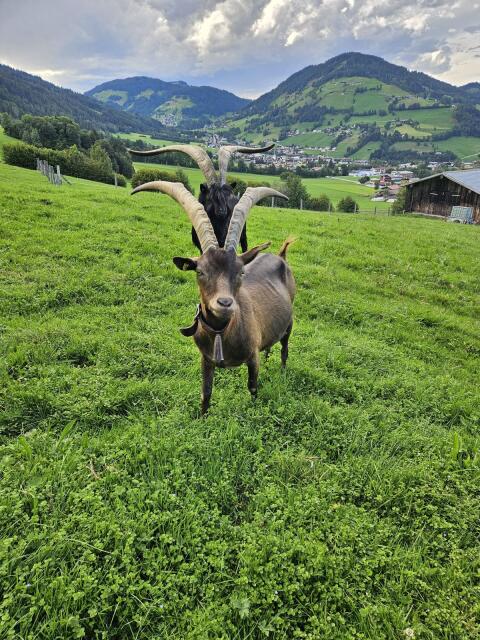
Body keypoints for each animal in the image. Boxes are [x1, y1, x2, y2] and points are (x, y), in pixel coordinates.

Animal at [131, 182, 295, 413]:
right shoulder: (205, 358)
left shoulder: (252, 357)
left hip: (290, 322)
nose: (224, 303)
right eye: (200, 271)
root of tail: (280, 256)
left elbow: (253, 387)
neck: (220, 332)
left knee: (285, 349)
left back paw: (281, 371)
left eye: (241, 272)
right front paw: (201, 416)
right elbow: (206, 393)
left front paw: (254, 411)